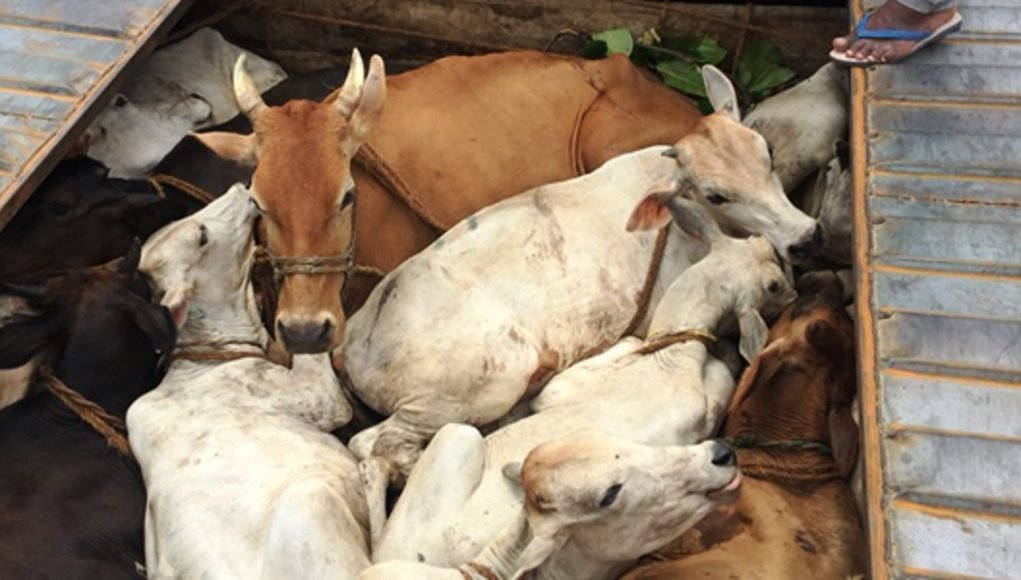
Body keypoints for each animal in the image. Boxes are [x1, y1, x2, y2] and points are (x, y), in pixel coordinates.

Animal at [341, 64, 817, 514]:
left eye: (767, 152)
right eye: (716, 194)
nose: (808, 236)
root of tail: (353, 342)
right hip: (464, 394)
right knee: (371, 445)